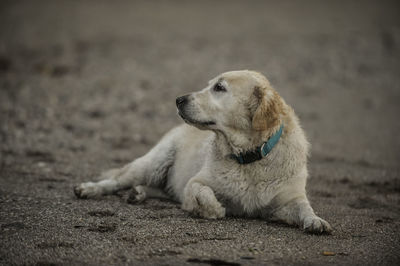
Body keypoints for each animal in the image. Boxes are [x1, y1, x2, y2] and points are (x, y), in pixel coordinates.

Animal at [73, 69, 332, 234]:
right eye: (210, 84)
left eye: (219, 87)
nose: (178, 99)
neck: (248, 157)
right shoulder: (194, 183)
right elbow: (204, 194)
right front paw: (214, 210)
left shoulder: (289, 200)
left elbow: (305, 208)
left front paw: (316, 221)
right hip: (154, 163)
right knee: (116, 180)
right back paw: (88, 189)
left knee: (159, 190)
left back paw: (138, 193)